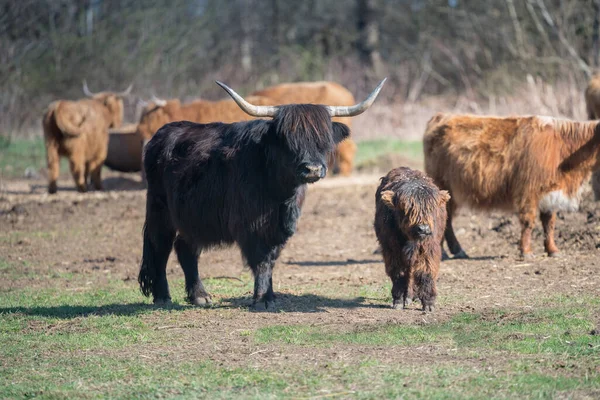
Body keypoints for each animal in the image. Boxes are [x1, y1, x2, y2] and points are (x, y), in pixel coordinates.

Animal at [139, 79, 386, 310]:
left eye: (323, 140)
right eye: (289, 140)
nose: (313, 169)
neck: (279, 192)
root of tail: (162, 133)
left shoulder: (281, 226)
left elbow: (271, 259)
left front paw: (269, 295)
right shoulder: (251, 225)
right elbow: (261, 259)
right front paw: (262, 299)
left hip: (194, 217)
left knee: (185, 247)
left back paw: (200, 296)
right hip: (160, 209)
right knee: (159, 247)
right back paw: (163, 297)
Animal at [372, 166, 448, 310]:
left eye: (431, 208)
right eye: (407, 208)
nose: (423, 229)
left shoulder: (429, 249)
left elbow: (426, 272)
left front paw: (428, 303)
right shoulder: (392, 250)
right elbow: (399, 273)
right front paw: (398, 301)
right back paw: (407, 297)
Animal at [422, 112, 600, 260]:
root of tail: (441, 115)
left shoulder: (550, 195)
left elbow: (549, 223)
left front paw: (552, 250)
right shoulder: (528, 191)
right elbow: (529, 222)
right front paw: (526, 252)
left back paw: (455, 251)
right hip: (442, 186)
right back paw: (446, 252)